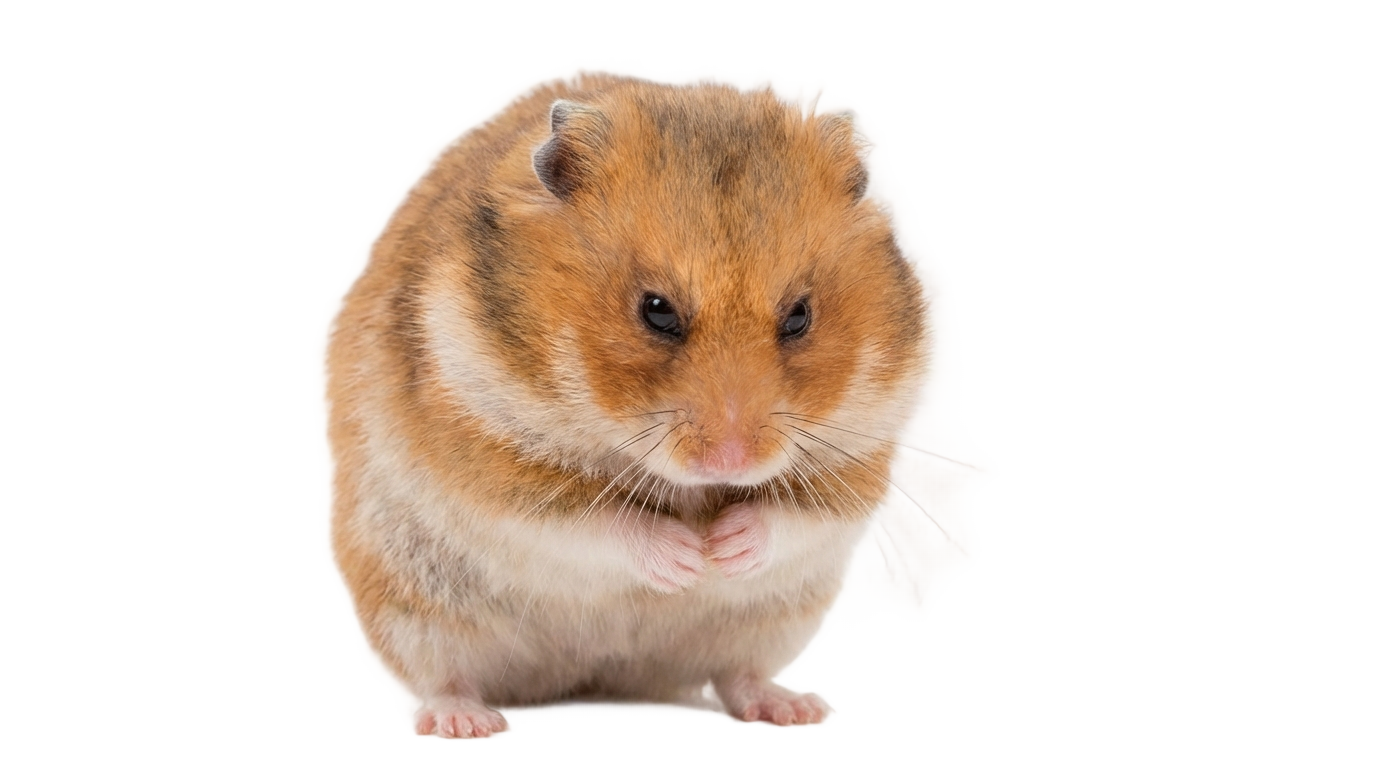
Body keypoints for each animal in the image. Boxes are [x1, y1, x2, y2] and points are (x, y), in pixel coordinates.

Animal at [326, 75, 930, 738]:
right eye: (656, 311)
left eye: (799, 316)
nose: (732, 461)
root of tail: (587, 680)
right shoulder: (486, 461)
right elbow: (600, 524)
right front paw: (689, 560)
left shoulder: (859, 460)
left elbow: (790, 516)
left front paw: (722, 552)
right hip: (414, 609)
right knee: (447, 681)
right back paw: (468, 729)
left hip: (767, 630)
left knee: (735, 678)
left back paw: (793, 711)